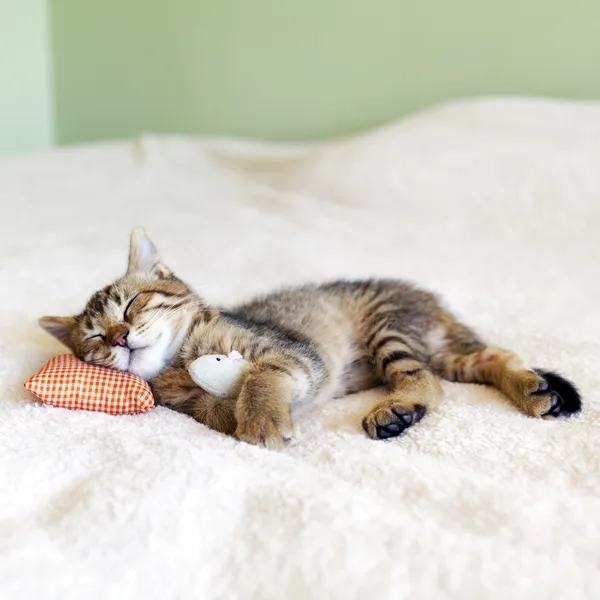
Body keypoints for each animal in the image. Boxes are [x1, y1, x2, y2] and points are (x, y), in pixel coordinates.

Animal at [38, 229, 580, 446]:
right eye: (95, 338)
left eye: (131, 305)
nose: (121, 337)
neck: (183, 359)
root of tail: (429, 299)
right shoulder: (184, 401)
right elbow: (211, 409)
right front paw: (231, 410)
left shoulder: (295, 352)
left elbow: (261, 374)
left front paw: (259, 416)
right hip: (446, 351)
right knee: (492, 358)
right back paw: (533, 390)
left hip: (388, 331)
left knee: (427, 380)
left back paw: (397, 408)